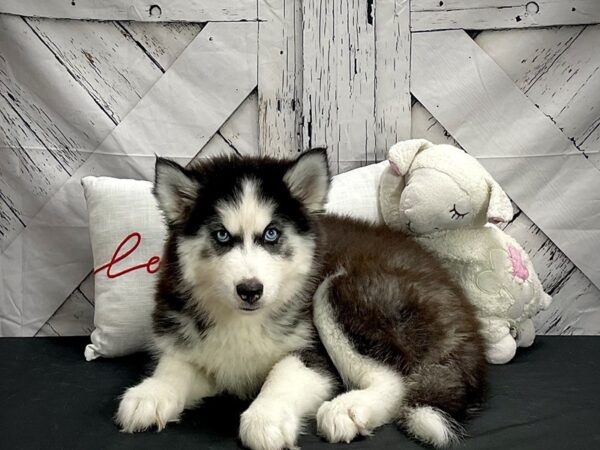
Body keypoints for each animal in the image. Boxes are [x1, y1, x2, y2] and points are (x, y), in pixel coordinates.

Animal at [117, 149, 488, 448]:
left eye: (271, 234)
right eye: (221, 235)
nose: (250, 290)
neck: (244, 321)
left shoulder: (314, 355)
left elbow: (281, 376)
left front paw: (264, 417)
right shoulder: (196, 343)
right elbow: (175, 366)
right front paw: (151, 393)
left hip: (340, 290)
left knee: (394, 380)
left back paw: (349, 408)